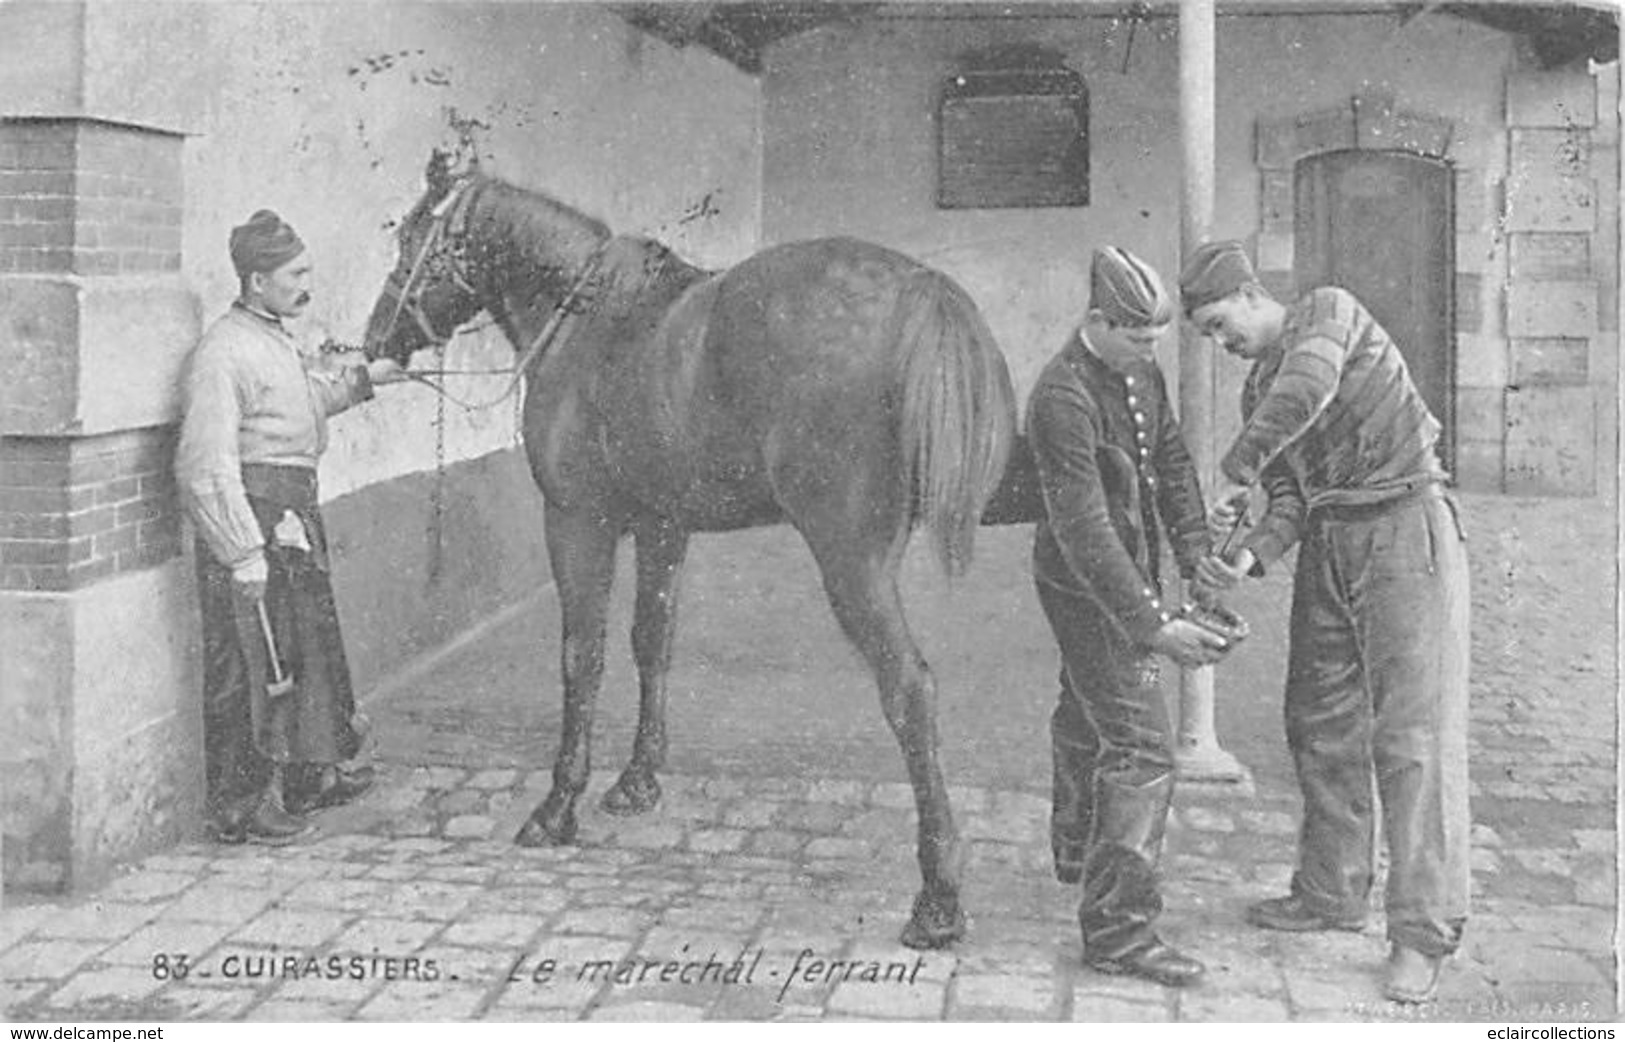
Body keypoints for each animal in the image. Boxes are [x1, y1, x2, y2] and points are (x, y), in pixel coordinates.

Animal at [365, 150, 1014, 949]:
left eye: (412, 241)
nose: (374, 342)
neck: (586, 322)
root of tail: (919, 289)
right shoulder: (660, 526)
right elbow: (652, 642)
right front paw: (637, 779)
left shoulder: (576, 523)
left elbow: (582, 656)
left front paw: (558, 804)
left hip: (850, 564)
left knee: (910, 691)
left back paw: (938, 896)